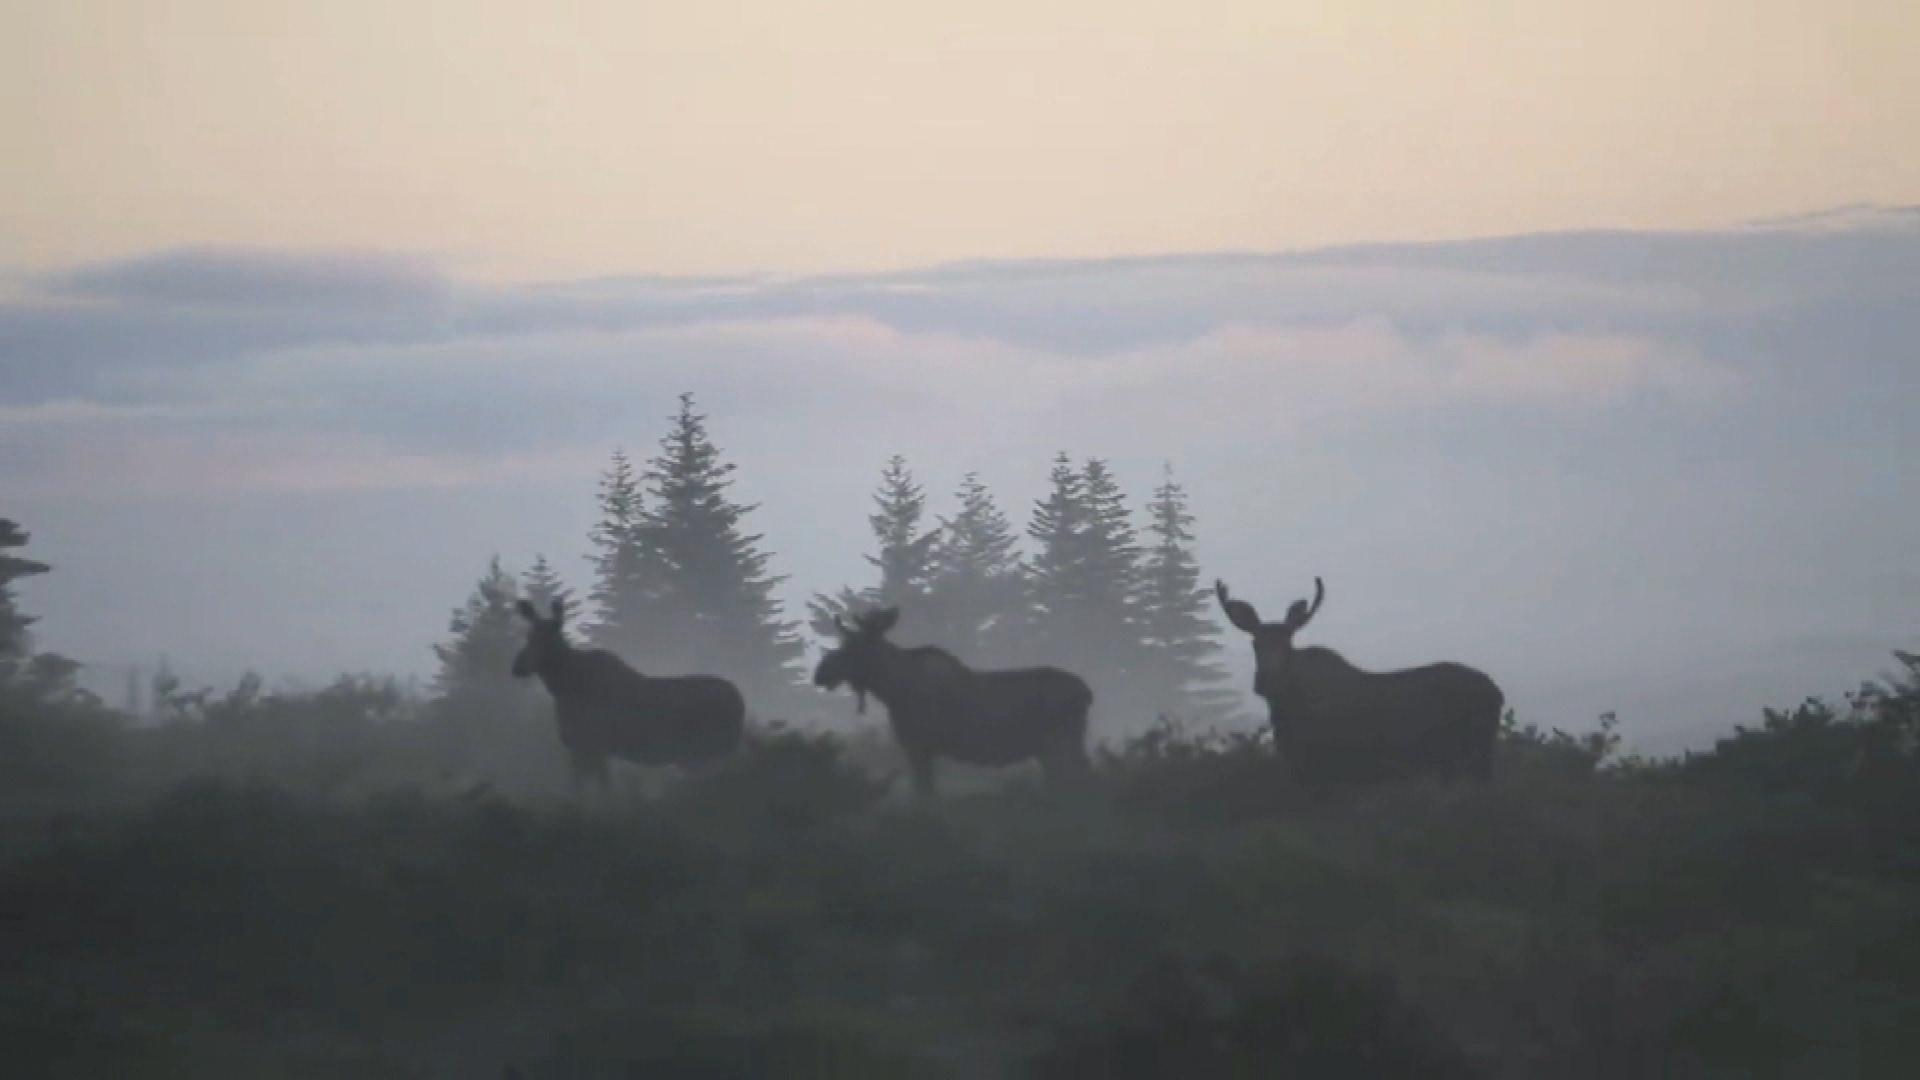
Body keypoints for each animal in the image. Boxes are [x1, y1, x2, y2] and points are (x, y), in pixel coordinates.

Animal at [506, 591, 744, 787]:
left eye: (550, 638)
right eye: (528, 635)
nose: (518, 666)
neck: (563, 687)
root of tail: (741, 702)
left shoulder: (593, 744)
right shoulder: (582, 747)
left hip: (709, 750)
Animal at [814, 599, 1098, 795]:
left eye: (852, 647)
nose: (820, 672)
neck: (893, 689)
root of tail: (1087, 693)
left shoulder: (917, 745)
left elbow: (925, 793)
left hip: (1061, 743)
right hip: (1055, 748)